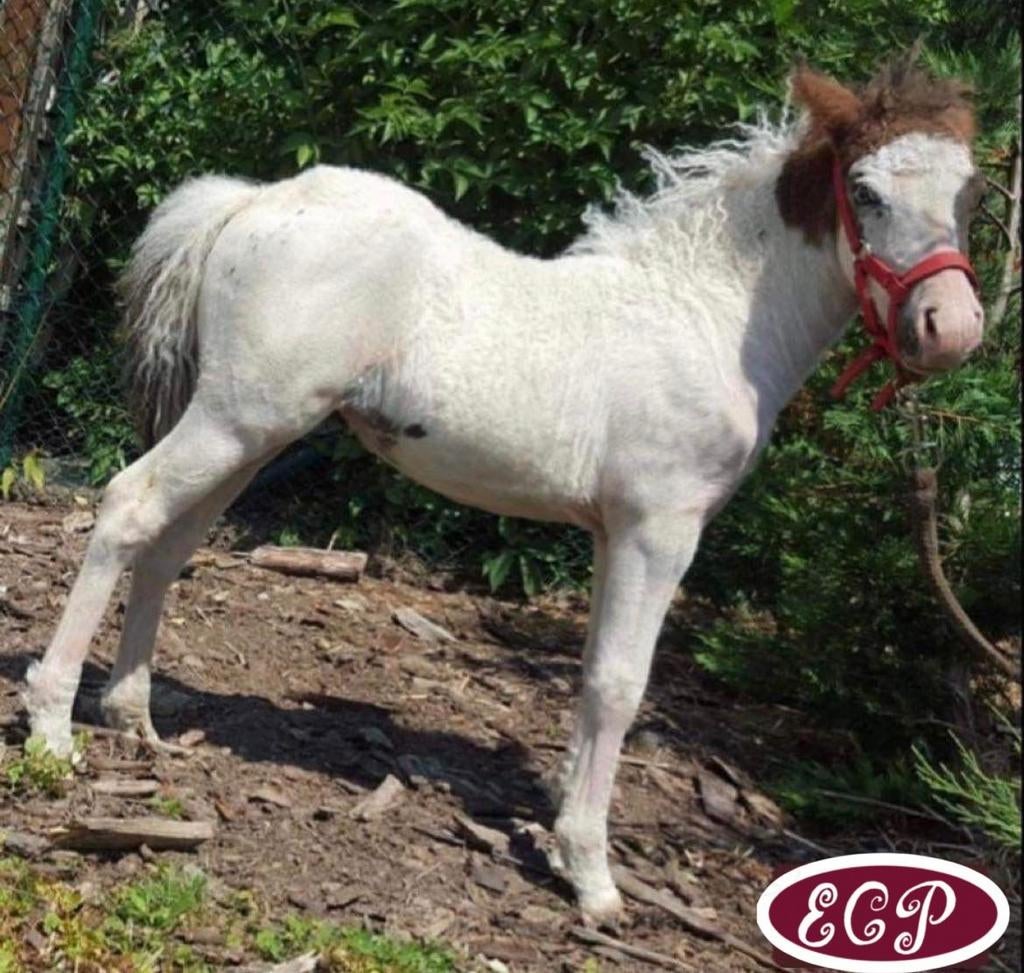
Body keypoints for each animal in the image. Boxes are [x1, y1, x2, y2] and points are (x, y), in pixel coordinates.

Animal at [22, 56, 985, 922]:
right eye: (864, 191)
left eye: (967, 193)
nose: (954, 329)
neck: (702, 315)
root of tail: (254, 200)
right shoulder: (659, 526)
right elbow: (621, 683)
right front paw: (591, 875)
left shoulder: (611, 531)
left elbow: (592, 670)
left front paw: (559, 825)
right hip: (237, 417)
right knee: (127, 507)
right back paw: (52, 727)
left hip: (256, 434)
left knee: (170, 543)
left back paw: (133, 717)